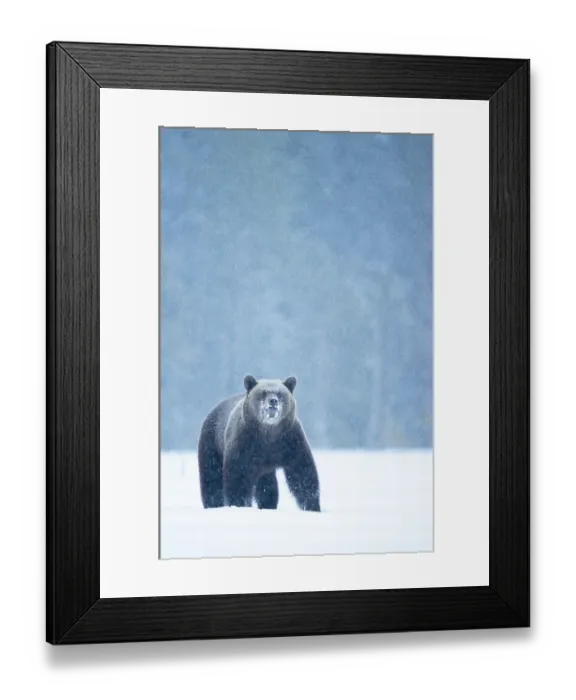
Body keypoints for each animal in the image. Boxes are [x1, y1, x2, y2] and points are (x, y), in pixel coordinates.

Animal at [197, 375, 321, 512]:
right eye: (263, 393)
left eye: (280, 393)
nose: (273, 401)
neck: (268, 432)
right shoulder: (244, 443)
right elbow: (237, 476)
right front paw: (238, 504)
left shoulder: (290, 440)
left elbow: (302, 471)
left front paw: (312, 506)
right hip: (212, 443)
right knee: (211, 476)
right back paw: (213, 504)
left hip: (265, 469)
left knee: (267, 485)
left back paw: (268, 505)